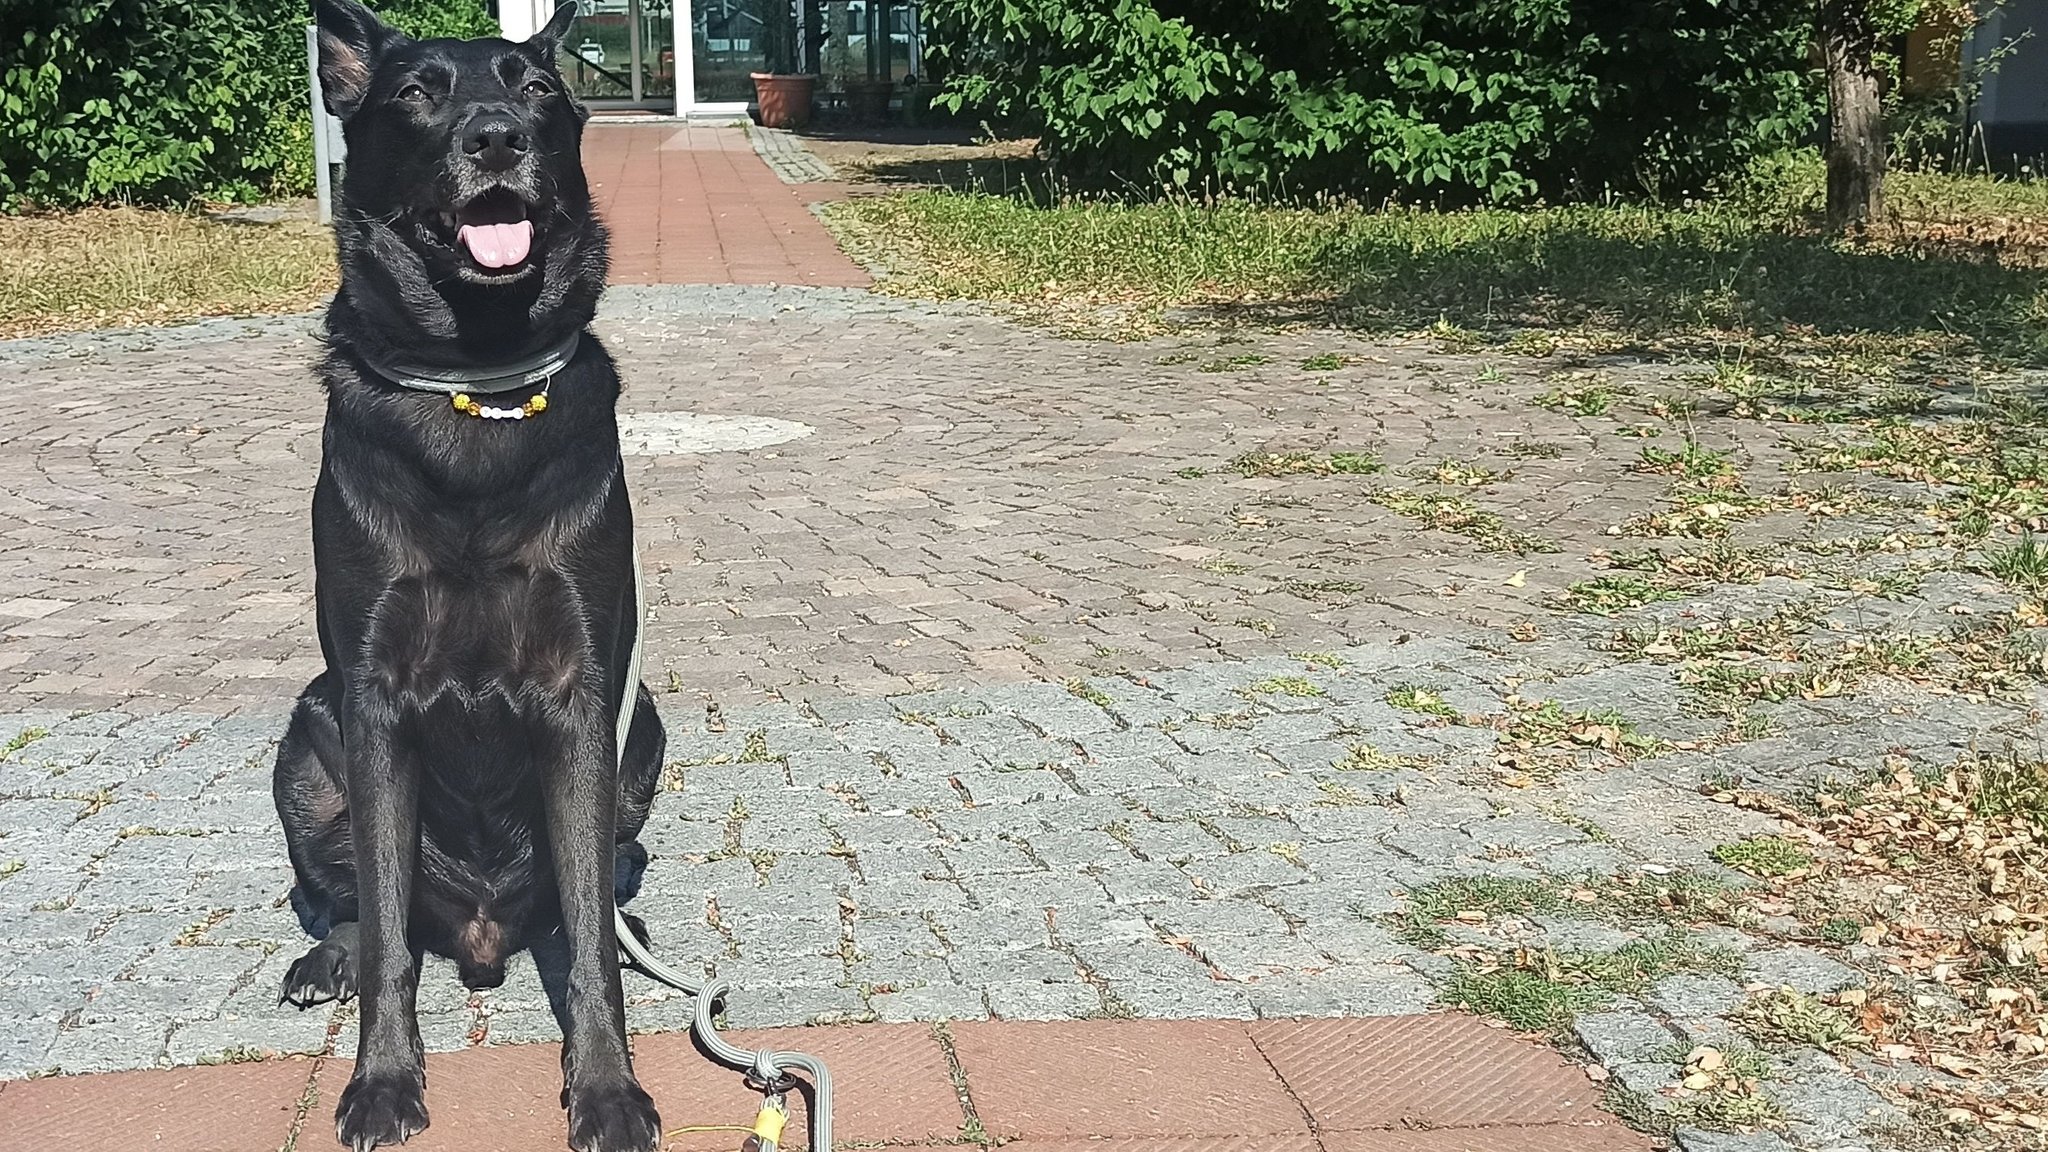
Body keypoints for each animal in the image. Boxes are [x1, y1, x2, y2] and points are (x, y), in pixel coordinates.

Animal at [276, 4, 663, 1139]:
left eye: (536, 88)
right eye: (417, 93)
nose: (497, 136)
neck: (476, 380)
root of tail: (486, 938)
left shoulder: (583, 695)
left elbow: (592, 947)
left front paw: (608, 1091)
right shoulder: (369, 695)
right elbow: (387, 934)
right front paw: (382, 1082)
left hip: (642, 728)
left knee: (595, 889)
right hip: (305, 741)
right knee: (362, 909)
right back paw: (325, 958)